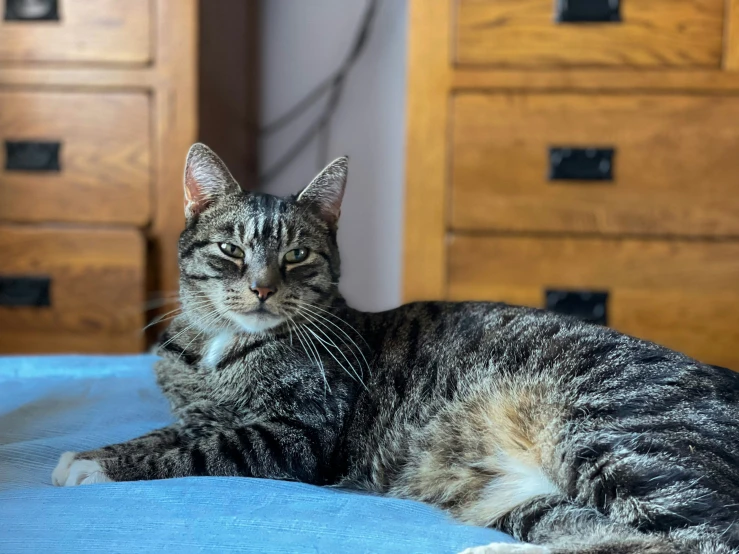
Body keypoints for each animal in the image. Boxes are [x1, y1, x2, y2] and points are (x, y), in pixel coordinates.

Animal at [53, 143, 739, 552]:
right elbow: (158, 435)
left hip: (616, 437)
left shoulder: (293, 436)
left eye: (296, 254)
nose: (262, 286)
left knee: (705, 538)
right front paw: (89, 452)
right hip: (521, 499)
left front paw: (100, 468)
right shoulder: (199, 415)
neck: (218, 349)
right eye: (230, 249)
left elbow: (195, 452)